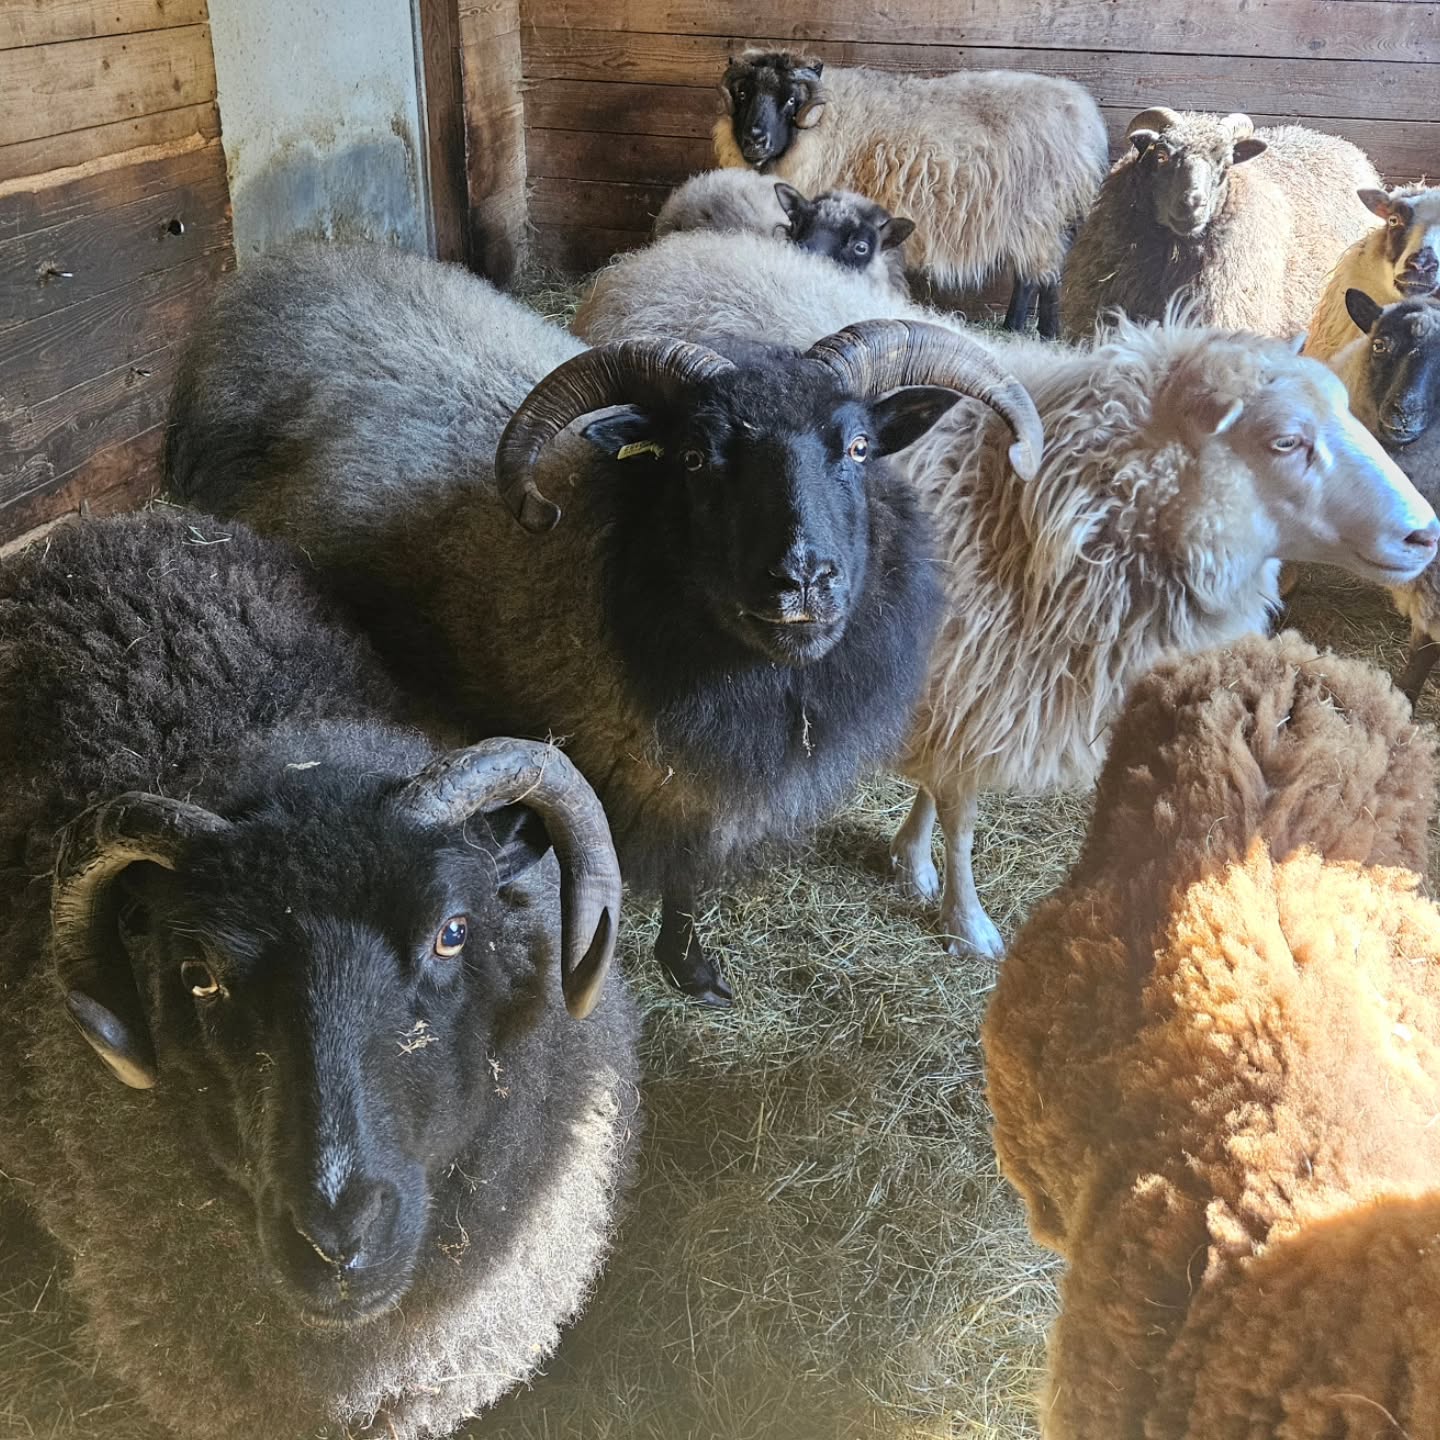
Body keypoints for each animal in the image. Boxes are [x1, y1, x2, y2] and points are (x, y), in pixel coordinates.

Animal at [167, 243, 1044, 1006]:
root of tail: (282, 269)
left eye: (859, 448)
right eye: (694, 458)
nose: (802, 577)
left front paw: (690, 968)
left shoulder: (695, 787)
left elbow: (688, 877)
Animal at [712, 49, 1107, 337]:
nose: (754, 140)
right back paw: (1015, 328)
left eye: (791, 101)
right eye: (743, 93)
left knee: (1045, 278)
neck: (827, 124)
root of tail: (1084, 112)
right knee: (1030, 277)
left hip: (1043, 213)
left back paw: (1045, 333)